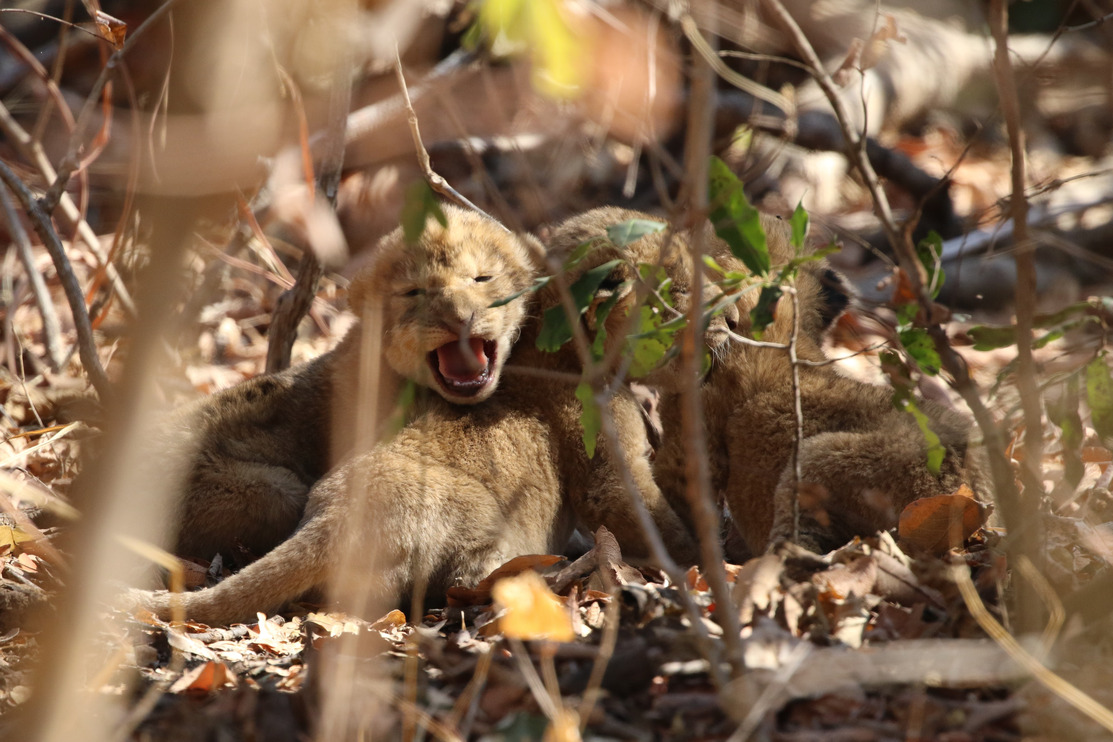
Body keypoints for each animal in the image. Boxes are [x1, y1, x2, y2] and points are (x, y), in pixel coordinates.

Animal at [137, 205, 708, 625]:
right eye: (413, 293)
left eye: (482, 278)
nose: (460, 316)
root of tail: (336, 521)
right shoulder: (604, 455)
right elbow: (639, 509)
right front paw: (705, 558)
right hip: (305, 496)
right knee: (472, 580)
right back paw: (562, 574)